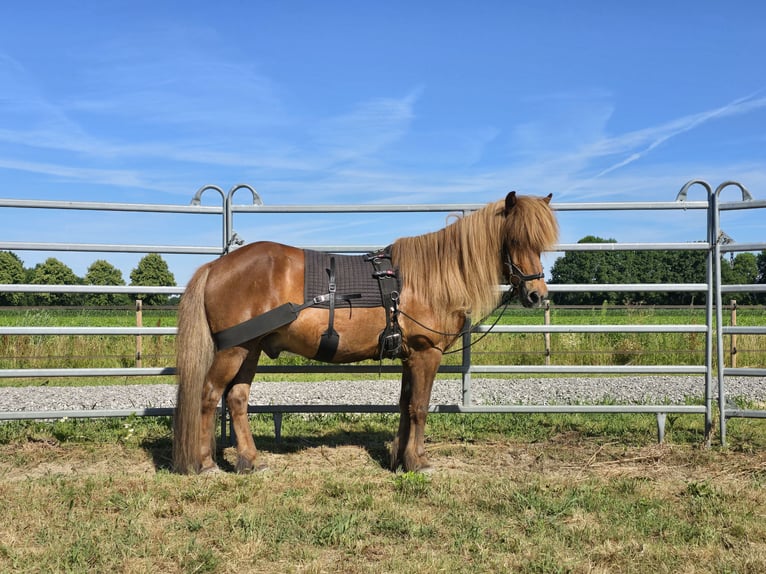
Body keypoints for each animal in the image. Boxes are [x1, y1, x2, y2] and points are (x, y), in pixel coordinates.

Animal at [173, 191, 559, 474]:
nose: (537, 295)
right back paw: (205, 464)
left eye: (539, 243)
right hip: (233, 350)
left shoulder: (409, 356)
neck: (429, 279)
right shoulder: (426, 353)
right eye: (515, 239)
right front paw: (419, 462)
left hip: (249, 348)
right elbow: (419, 407)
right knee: (209, 395)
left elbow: (404, 405)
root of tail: (216, 265)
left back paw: (250, 461)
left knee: (237, 399)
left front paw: (400, 458)